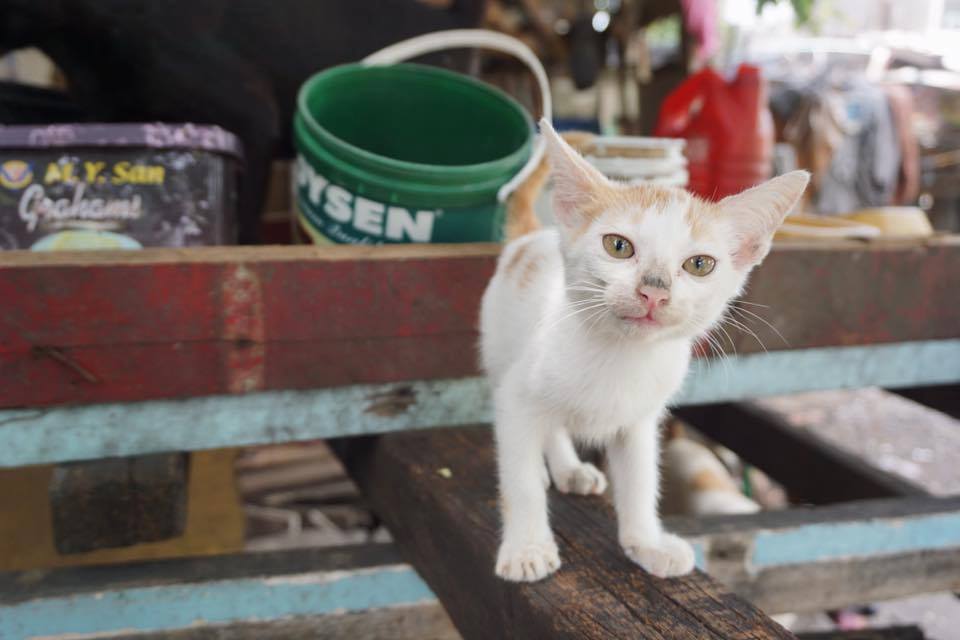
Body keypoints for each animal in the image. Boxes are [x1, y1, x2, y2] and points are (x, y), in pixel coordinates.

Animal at [480, 117, 808, 584]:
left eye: (699, 265)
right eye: (618, 246)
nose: (654, 289)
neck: (622, 356)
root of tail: (534, 235)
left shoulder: (639, 421)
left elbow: (640, 481)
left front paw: (646, 543)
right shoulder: (515, 397)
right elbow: (519, 480)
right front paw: (527, 547)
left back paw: (569, 469)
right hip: (500, 353)